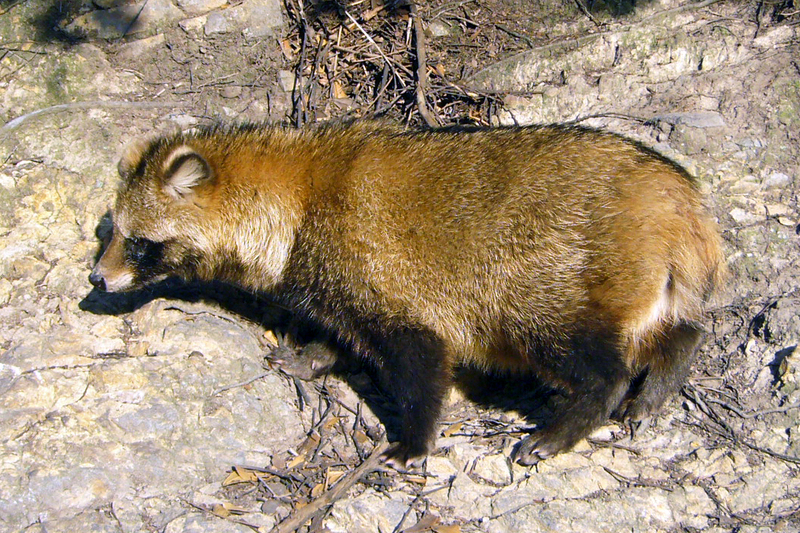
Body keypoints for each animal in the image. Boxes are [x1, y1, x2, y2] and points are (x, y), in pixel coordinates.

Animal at [89, 121, 724, 466]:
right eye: (111, 231)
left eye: (139, 243)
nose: (97, 279)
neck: (293, 195)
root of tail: (674, 194)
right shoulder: (335, 282)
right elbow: (340, 328)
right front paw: (314, 353)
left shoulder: (382, 271)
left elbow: (421, 363)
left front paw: (415, 438)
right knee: (680, 325)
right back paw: (667, 371)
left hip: (548, 280)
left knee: (593, 359)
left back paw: (576, 417)